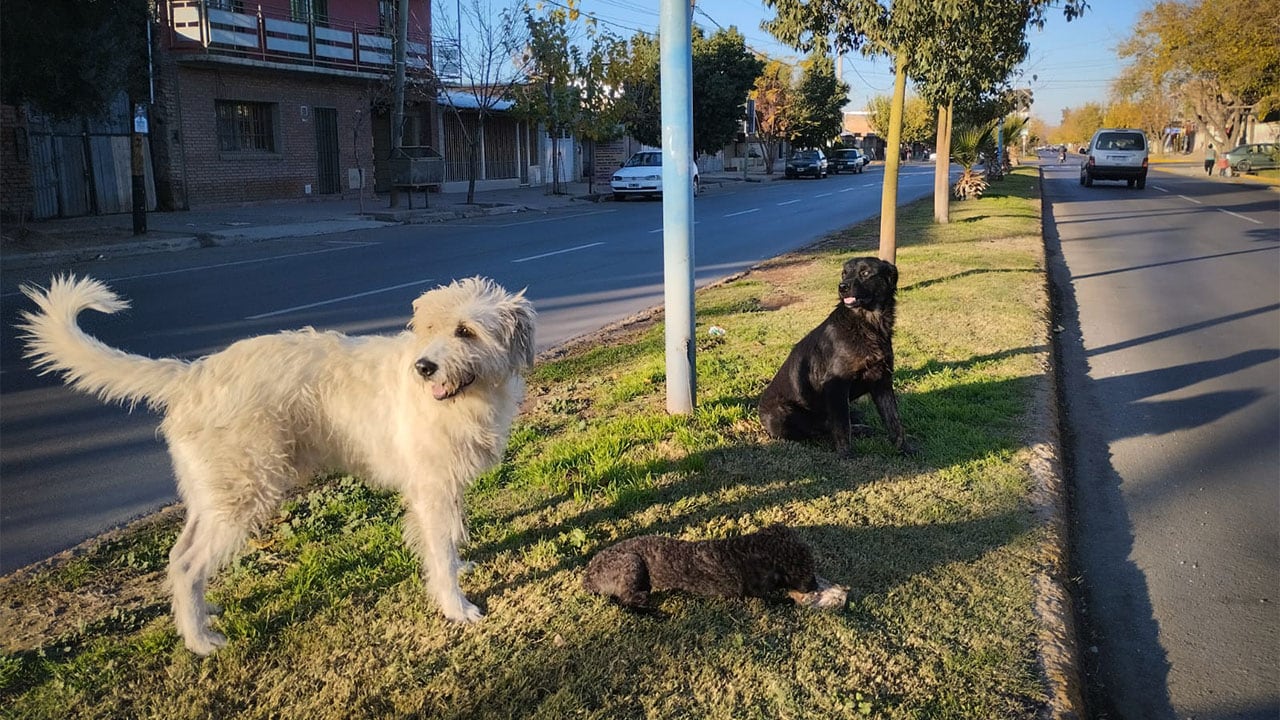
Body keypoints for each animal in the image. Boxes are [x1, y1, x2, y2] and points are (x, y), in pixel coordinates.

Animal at [17, 271, 535, 653]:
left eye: (465, 331)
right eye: (426, 330)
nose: (423, 367)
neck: (469, 395)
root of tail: (194, 375)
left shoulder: (446, 487)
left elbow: (450, 538)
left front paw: (460, 569)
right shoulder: (431, 490)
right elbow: (440, 551)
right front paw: (456, 607)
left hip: (213, 496)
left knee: (178, 557)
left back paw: (198, 618)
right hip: (244, 494)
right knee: (187, 566)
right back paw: (201, 642)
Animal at [583, 525, 849, 607]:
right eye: (807, 573)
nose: (813, 585)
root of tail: (588, 575)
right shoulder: (748, 592)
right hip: (632, 563)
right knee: (627, 599)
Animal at [757, 254, 911, 456]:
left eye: (865, 273)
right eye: (844, 273)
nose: (842, 287)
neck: (867, 323)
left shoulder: (882, 381)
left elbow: (894, 420)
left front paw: (905, 448)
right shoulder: (836, 384)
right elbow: (842, 426)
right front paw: (846, 454)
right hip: (782, 413)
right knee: (818, 431)